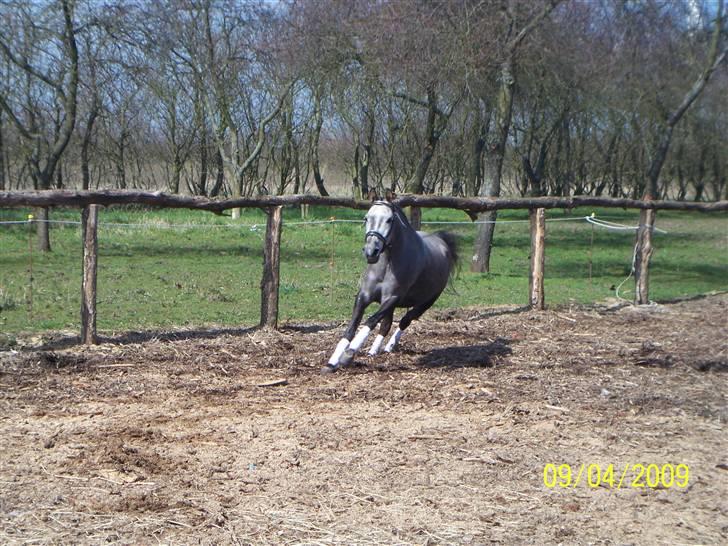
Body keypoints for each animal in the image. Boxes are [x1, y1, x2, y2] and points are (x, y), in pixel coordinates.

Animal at [322, 189, 458, 372]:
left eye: (389, 220)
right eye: (366, 218)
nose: (371, 251)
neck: (387, 265)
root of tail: (442, 242)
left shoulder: (391, 298)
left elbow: (371, 321)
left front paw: (348, 354)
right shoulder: (364, 296)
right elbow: (352, 328)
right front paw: (332, 361)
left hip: (425, 303)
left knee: (405, 321)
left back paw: (389, 346)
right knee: (386, 325)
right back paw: (373, 351)